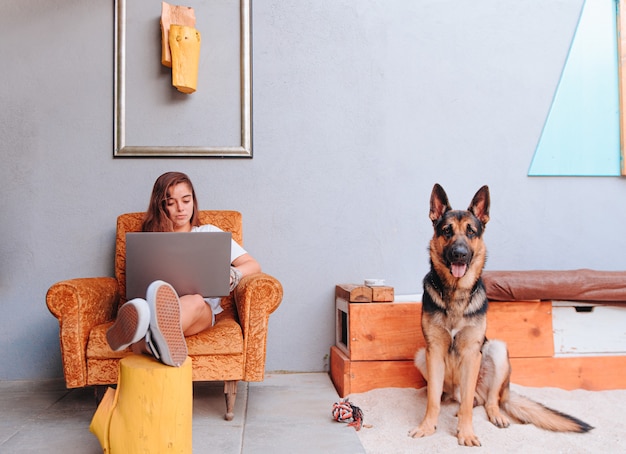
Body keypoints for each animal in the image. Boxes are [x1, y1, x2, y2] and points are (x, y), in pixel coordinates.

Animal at [408, 184, 592, 446]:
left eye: (471, 232)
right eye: (447, 231)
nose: (459, 254)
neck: (456, 293)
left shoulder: (472, 353)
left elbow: (467, 405)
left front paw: (465, 433)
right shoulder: (433, 350)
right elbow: (432, 400)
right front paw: (427, 426)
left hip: (498, 351)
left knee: (488, 400)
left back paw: (495, 415)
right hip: (421, 356)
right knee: (454, 397)